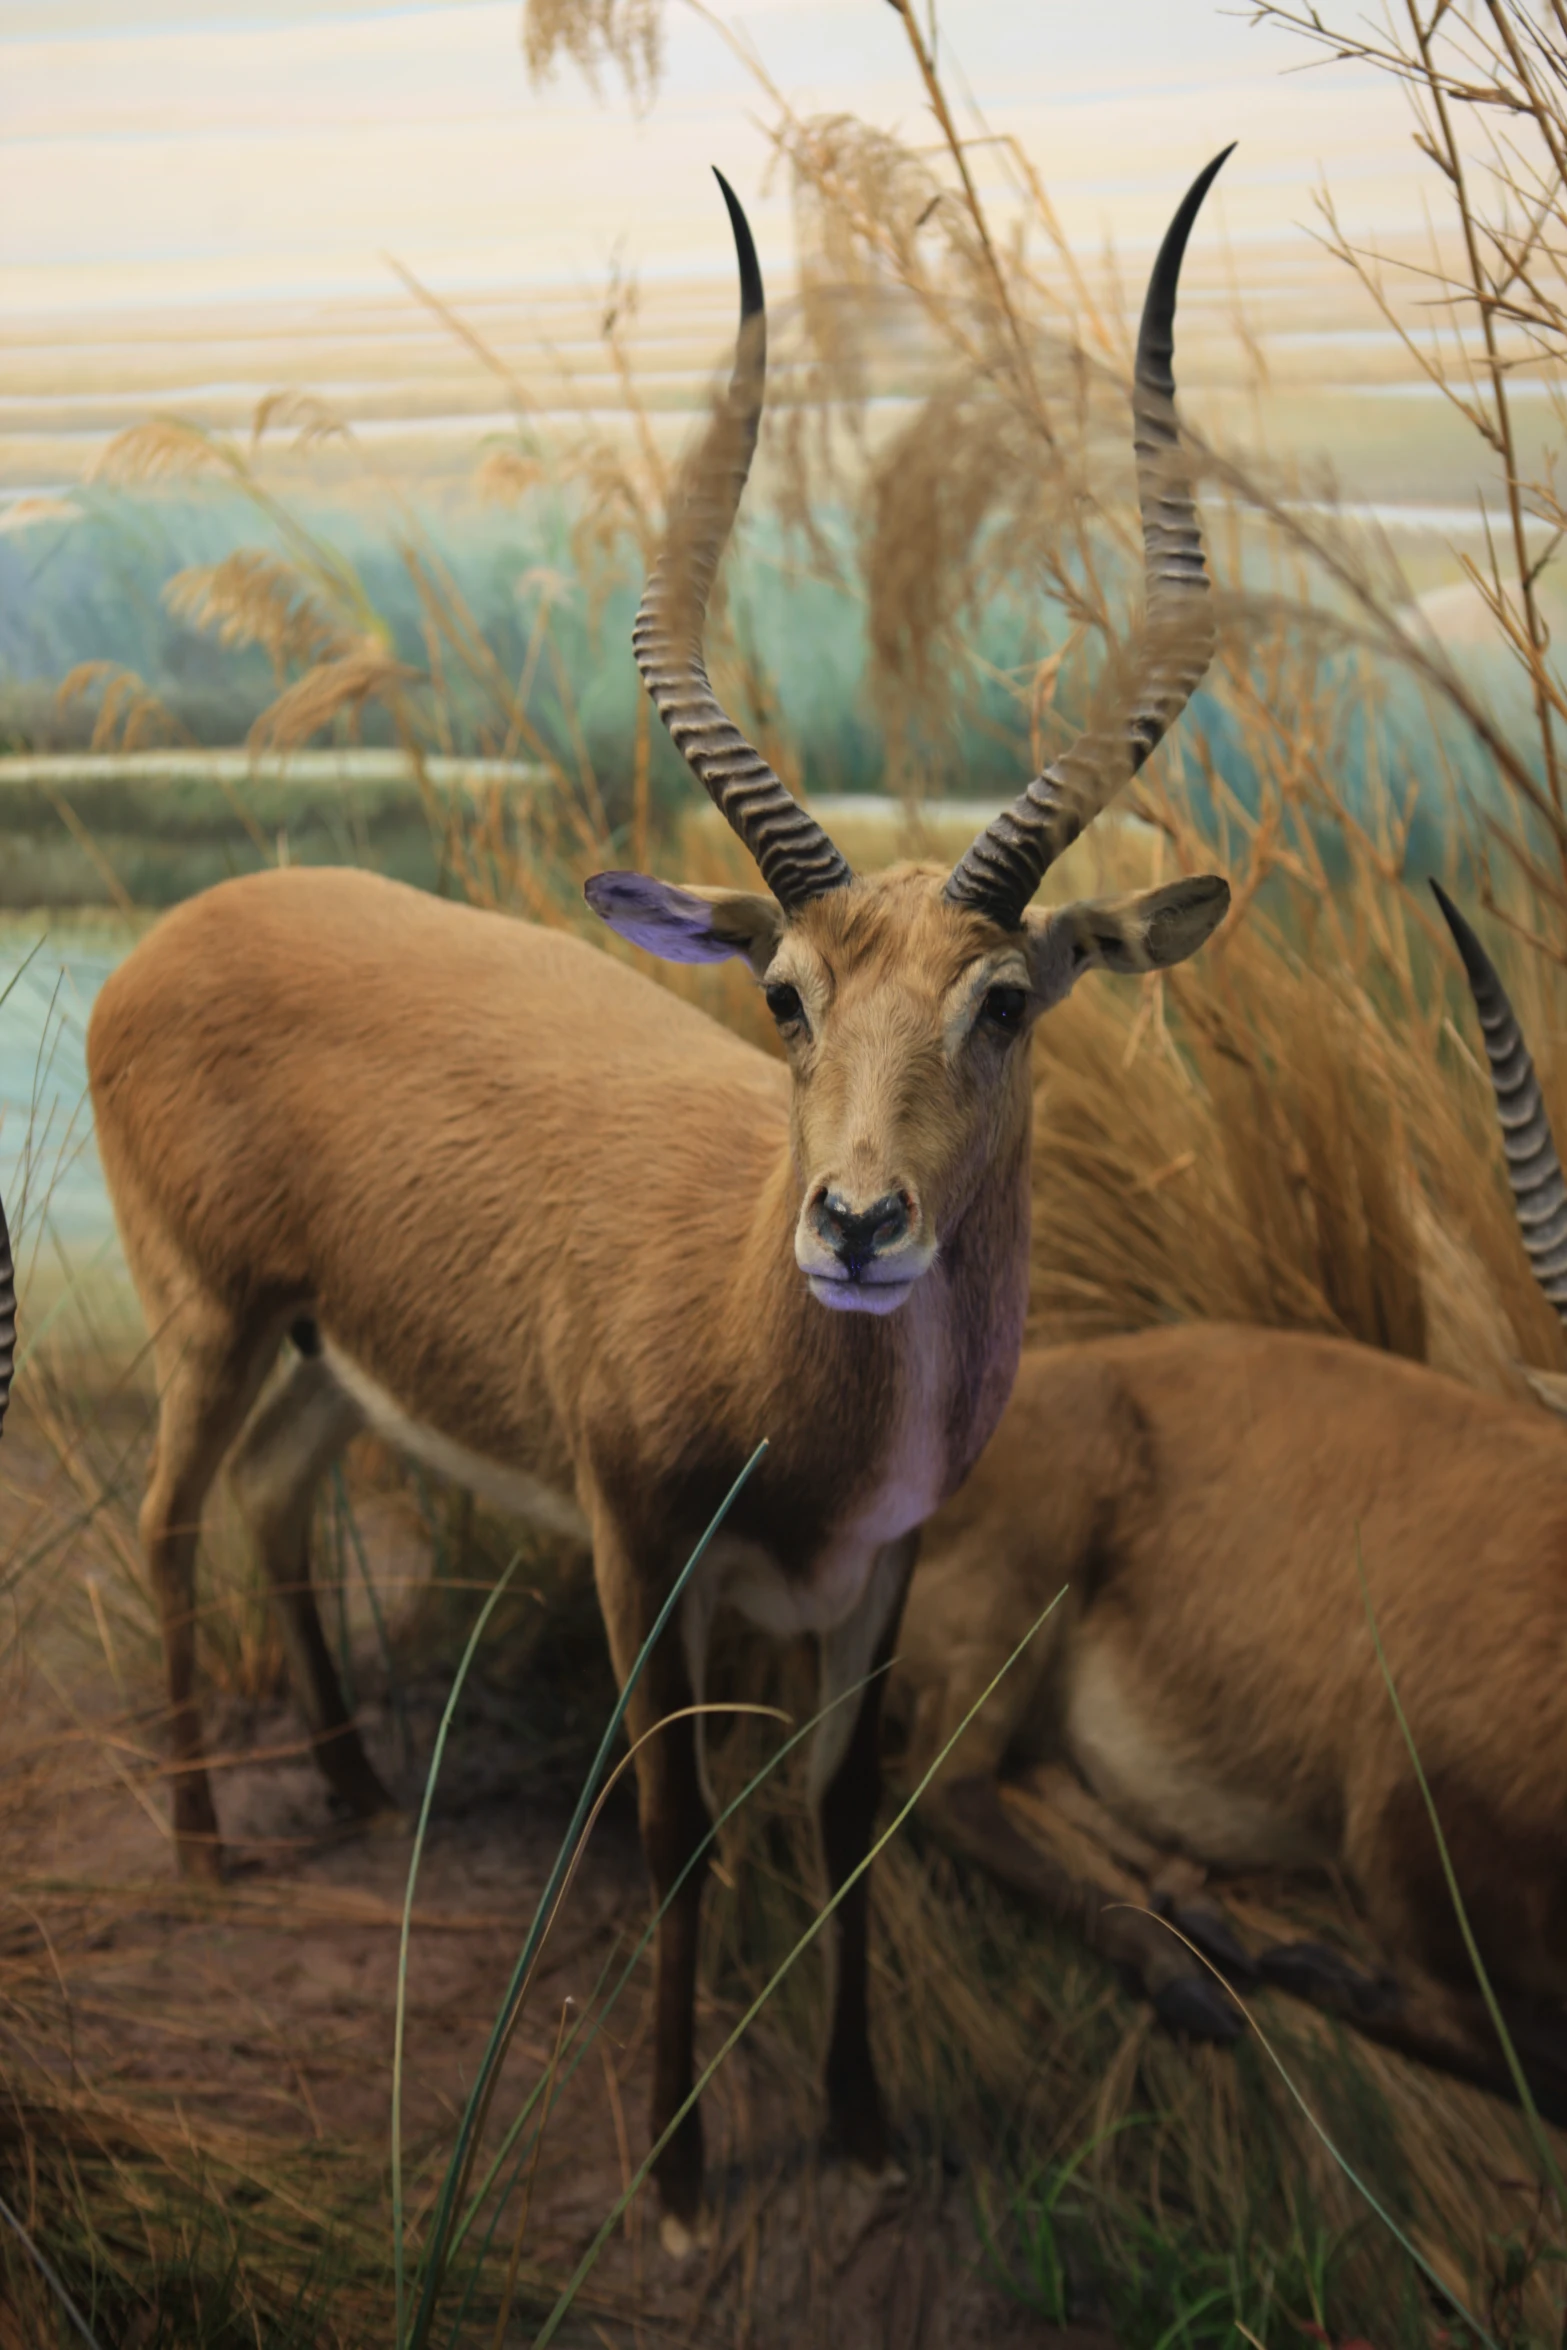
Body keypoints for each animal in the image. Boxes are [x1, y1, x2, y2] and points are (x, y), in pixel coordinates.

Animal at [85, 156, 1240, 2227]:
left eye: (1007, 999)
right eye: (781, 993)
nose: (855, 1225)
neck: (764, 1347)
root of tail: (182, 925)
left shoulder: (882, 1569)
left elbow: (846, 1815)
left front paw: (856, 2125)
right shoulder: (640, 1547)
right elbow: (679, 1826)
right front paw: (687, 2171)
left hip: (329, 1354)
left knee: (281, 1504)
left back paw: (360, 1794)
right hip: (208, 1320)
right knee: (164, 1520)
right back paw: (211, 1855)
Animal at [888, 888, 1567, 2105]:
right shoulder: (1405, 1853)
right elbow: (1537, 2051)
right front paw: (1314, 1969)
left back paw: (1196, 1908)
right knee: (940, 1787)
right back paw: (1188, 1968)